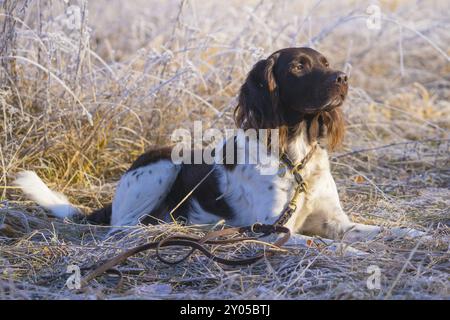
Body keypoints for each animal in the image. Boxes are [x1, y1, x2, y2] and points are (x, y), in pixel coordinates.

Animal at [12, 47, 424, 242]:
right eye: (298, 67)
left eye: (325, 61)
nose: (343, 78)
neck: (294, 158)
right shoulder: (271, 229)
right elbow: (318, 243)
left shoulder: (337, 221)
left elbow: (374, 229)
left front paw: (416, 233)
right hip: (164, 164)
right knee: (123, 227)